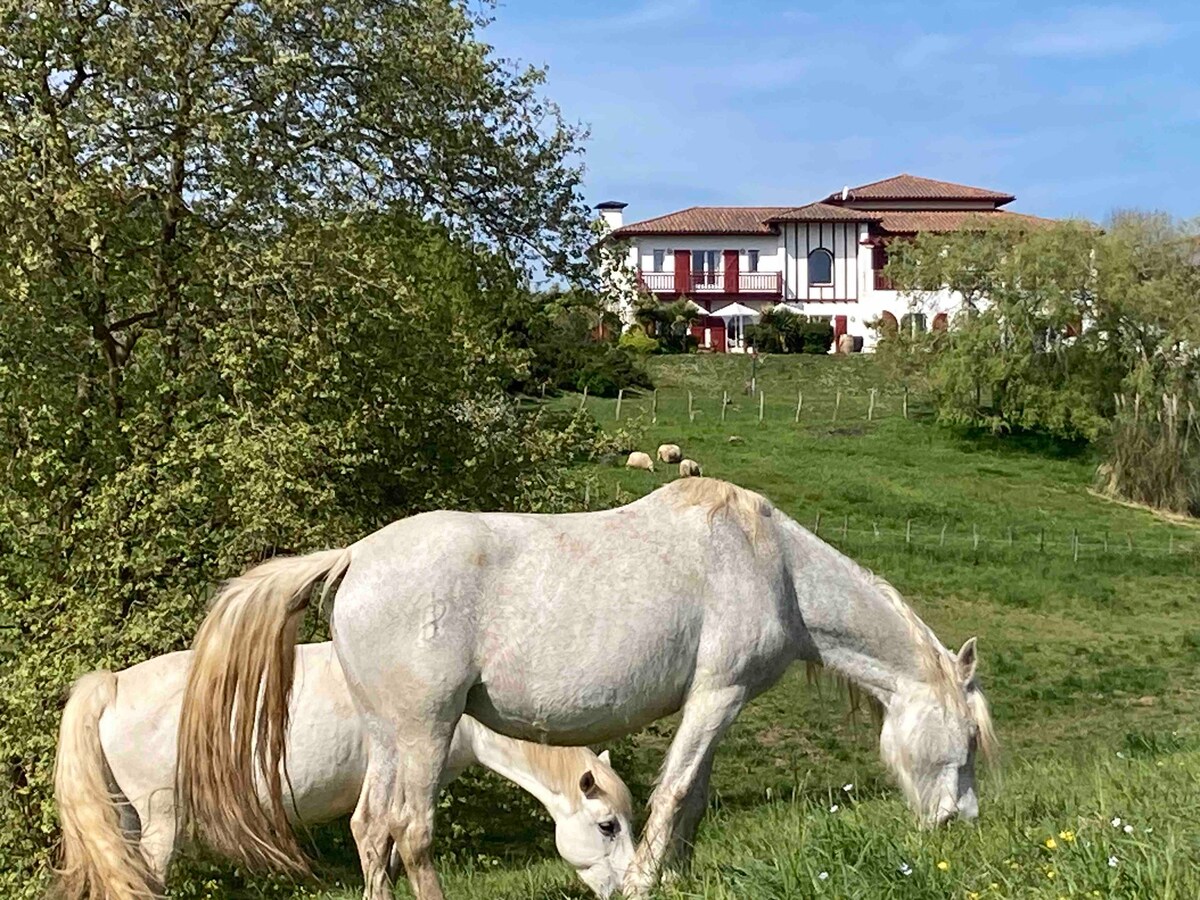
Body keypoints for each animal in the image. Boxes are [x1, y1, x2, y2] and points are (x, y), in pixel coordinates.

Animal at [177, 482, 998, 900]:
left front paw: (675, 877)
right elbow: (675, 792)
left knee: (372, 830)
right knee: (410, 830)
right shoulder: (718, 695)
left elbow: (693, 797)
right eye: (966, 740)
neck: (775, 565)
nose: (961, 822)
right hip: (423, 731)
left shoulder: (717, 704)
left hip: (387, 736)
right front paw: (641, 882)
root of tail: (352, 558)